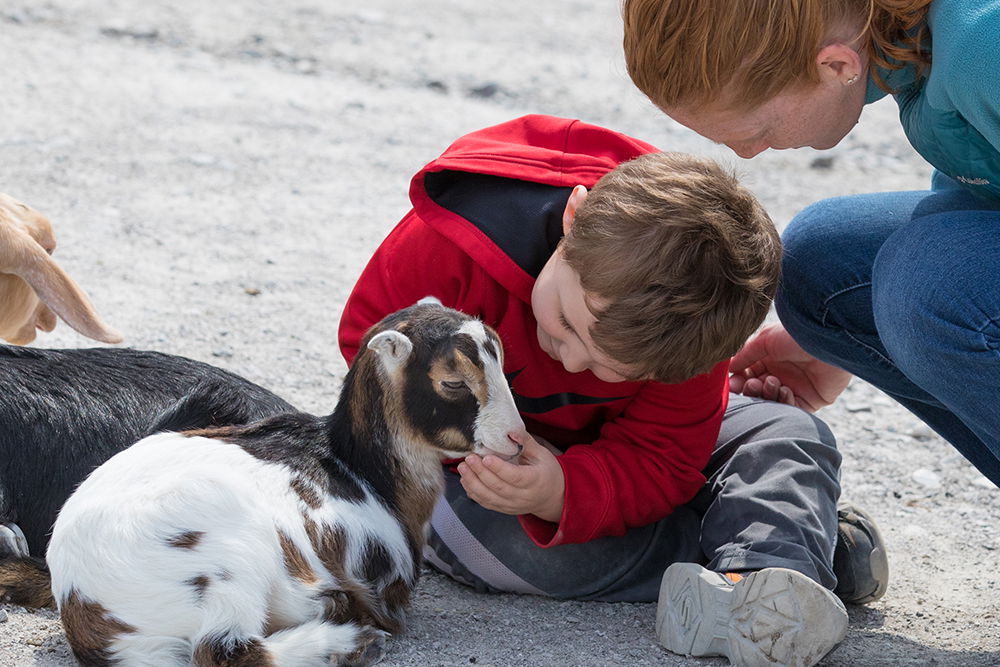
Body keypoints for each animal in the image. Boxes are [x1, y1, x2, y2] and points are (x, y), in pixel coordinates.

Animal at [40, 302, 528, 667]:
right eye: (453, 381)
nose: (516, 439)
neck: (361, 469)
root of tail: (84, 601)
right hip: (230, 562)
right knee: (223, 651)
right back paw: (350, 641)